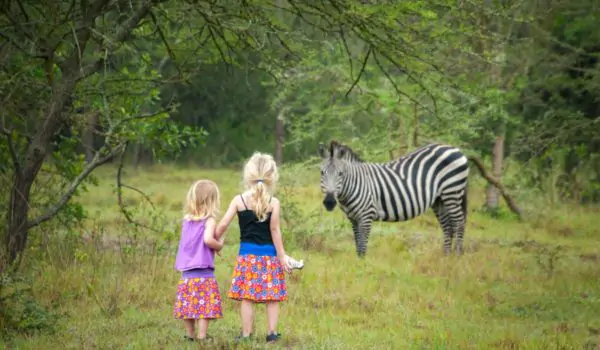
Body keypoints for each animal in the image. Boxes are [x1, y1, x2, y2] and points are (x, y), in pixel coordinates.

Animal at [316, 141, 472, 258]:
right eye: (322, 173)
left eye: (340, 174)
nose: (329, 202)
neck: (356, 183)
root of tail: (454, 148)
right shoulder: (353, 218)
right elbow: (357, 244)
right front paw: (358, 264)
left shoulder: (366, 215)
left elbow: (363, 244)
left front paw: (363, 267)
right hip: (439, 200)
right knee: (448, 227)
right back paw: (446, 257)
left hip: (452, 192)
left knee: (459, 223)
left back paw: (457, 256)